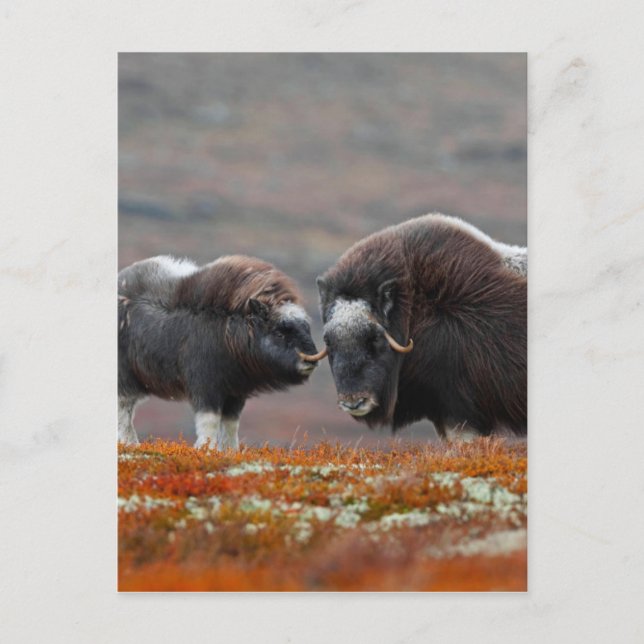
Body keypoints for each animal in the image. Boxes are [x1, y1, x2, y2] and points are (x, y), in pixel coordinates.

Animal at [118, 255, 322, 449]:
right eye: (280, 332)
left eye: (306, 327)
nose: (311, 360)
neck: (231, 329)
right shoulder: (206, 386)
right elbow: (209, 421)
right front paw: (207, 448)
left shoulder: (236, 392)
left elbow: (231, 423)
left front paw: (231, 451)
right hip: (126, 379)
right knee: (124, 409)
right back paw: (131, 443)